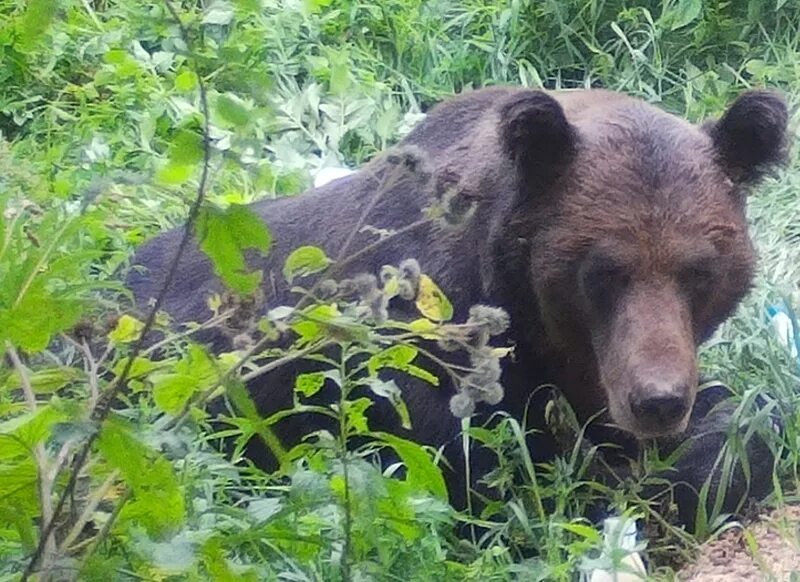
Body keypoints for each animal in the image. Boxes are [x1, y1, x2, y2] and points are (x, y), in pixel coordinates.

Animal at [128, 85, 792, 524]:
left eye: (698, 270)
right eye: (603, 271)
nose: (658, 401)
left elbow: (747, 413)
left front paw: (717, 439)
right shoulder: (417, 356)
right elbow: (503, 477)